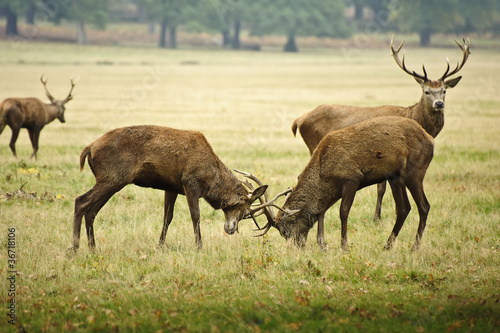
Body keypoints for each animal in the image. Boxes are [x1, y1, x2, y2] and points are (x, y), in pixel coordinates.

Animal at [69, 124, 270, 252]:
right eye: (244, 210)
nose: (230, 229)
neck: (211, 178)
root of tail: (89, 148)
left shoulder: (172, 187)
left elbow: (168, 217)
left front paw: (159, 246)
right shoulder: (190, 182)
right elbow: (195, 216)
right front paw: (199, 247)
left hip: (111, 180)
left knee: (92, 211)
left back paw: (93, 248)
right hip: (113, 177)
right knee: (81, 201)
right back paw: (74, 248)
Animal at [254, 116, 434, 249]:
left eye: (284, 231)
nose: (296, 247)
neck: (323, 173)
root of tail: (431, 140)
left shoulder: (352, 178)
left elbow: (343, 212)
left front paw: (344, 245)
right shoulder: (333, 190)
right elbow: (321, 211)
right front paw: (322, 244)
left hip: (414, 170)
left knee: (424, 206)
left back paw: (414, 247)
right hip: (394, 176)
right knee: (404, 208)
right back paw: (387, 246)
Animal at [292, 37, 470, 226]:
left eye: (444, 91)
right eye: (426, 91)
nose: (439, 103)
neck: (413, 116)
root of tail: (299, 120)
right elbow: (381, 188)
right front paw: (376, 217)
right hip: (314, 146)